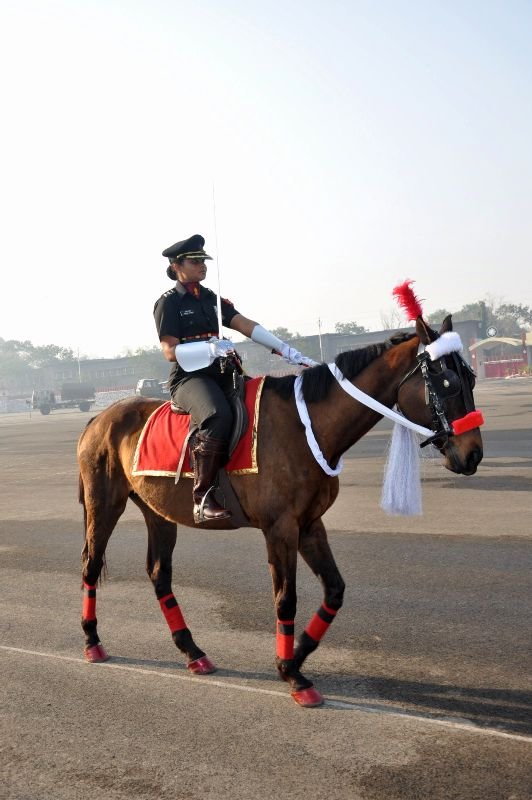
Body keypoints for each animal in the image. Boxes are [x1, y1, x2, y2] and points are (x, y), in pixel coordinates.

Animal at [78, 314, 482, 708]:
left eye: (472, 378)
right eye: (447, 382)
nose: (473, 453)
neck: (308, 426)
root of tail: (101, 417)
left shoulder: (310, 525)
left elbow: (334, 590)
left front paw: (297, 655)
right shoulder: (280, 529)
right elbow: (286, 599)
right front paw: (292, 673)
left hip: (158, 513)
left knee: (159, 574)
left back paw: (192, 651)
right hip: (105, 504)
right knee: (91, 565)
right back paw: (92, 642)